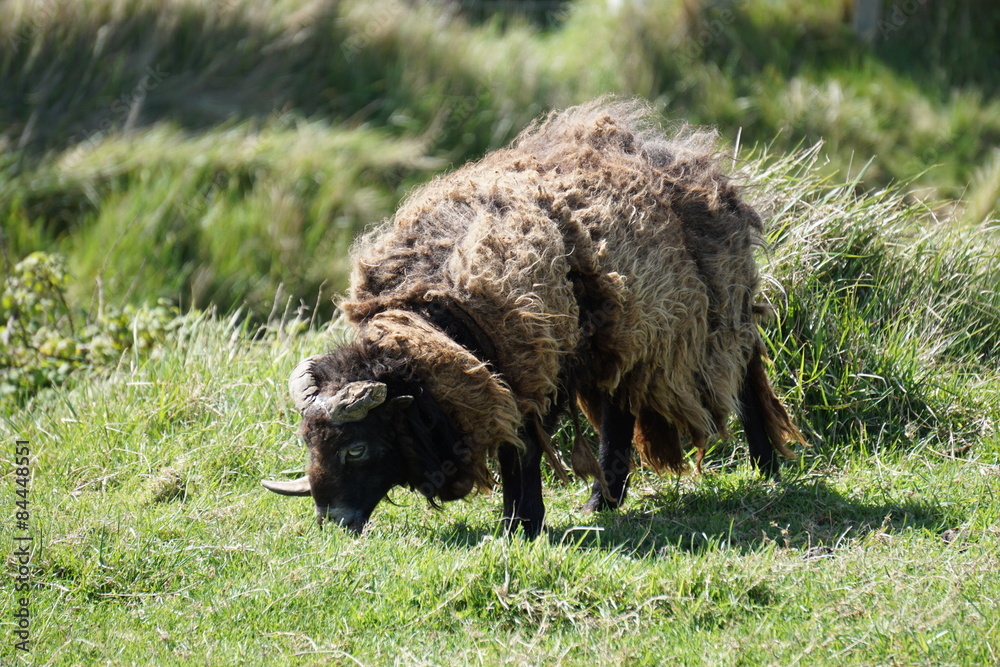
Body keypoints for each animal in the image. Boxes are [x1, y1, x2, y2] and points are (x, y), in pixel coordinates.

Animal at [262, 98, 805, 537]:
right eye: (308, 442)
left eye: (355, 448)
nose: (334, 523)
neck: (431, 323)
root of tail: (698, 162)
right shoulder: (503, 380)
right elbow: (513, 446)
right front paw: (515, 521)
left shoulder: (527, 368)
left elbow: (521, 449)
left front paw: (524, 524)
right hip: (624, 337)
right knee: (620, 411)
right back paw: (603, 500)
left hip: (718, 314)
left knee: (745, 379)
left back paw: (766, 468)